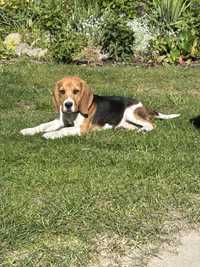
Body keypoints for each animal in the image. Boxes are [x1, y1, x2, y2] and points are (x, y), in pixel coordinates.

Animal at [20, 76, 180, 140]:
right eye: (62, 92)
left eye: (76, 91)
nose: (68, 105)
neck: (73, 114)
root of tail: (143, 105)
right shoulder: (60, 120)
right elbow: (43, 125)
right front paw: (28, 130)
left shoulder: (81, 129)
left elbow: (63, 130)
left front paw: (50, 134)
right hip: (126, 122)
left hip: (131, 113)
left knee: (151, 124)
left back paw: (143, 130)